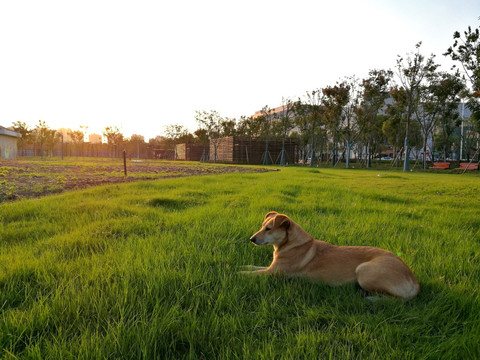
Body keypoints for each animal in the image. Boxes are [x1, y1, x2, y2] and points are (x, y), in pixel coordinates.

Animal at [242, 212, 418, 300]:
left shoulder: (273, 273)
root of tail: (414, 279)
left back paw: (371, 298)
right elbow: (253, 267)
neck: (291, 243)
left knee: (399, 300)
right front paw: (242, 265)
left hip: (364, 271)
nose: (251, 239)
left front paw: (237, 274)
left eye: (269, 229)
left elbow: (249, 274)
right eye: (262, 226)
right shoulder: (271, 268)